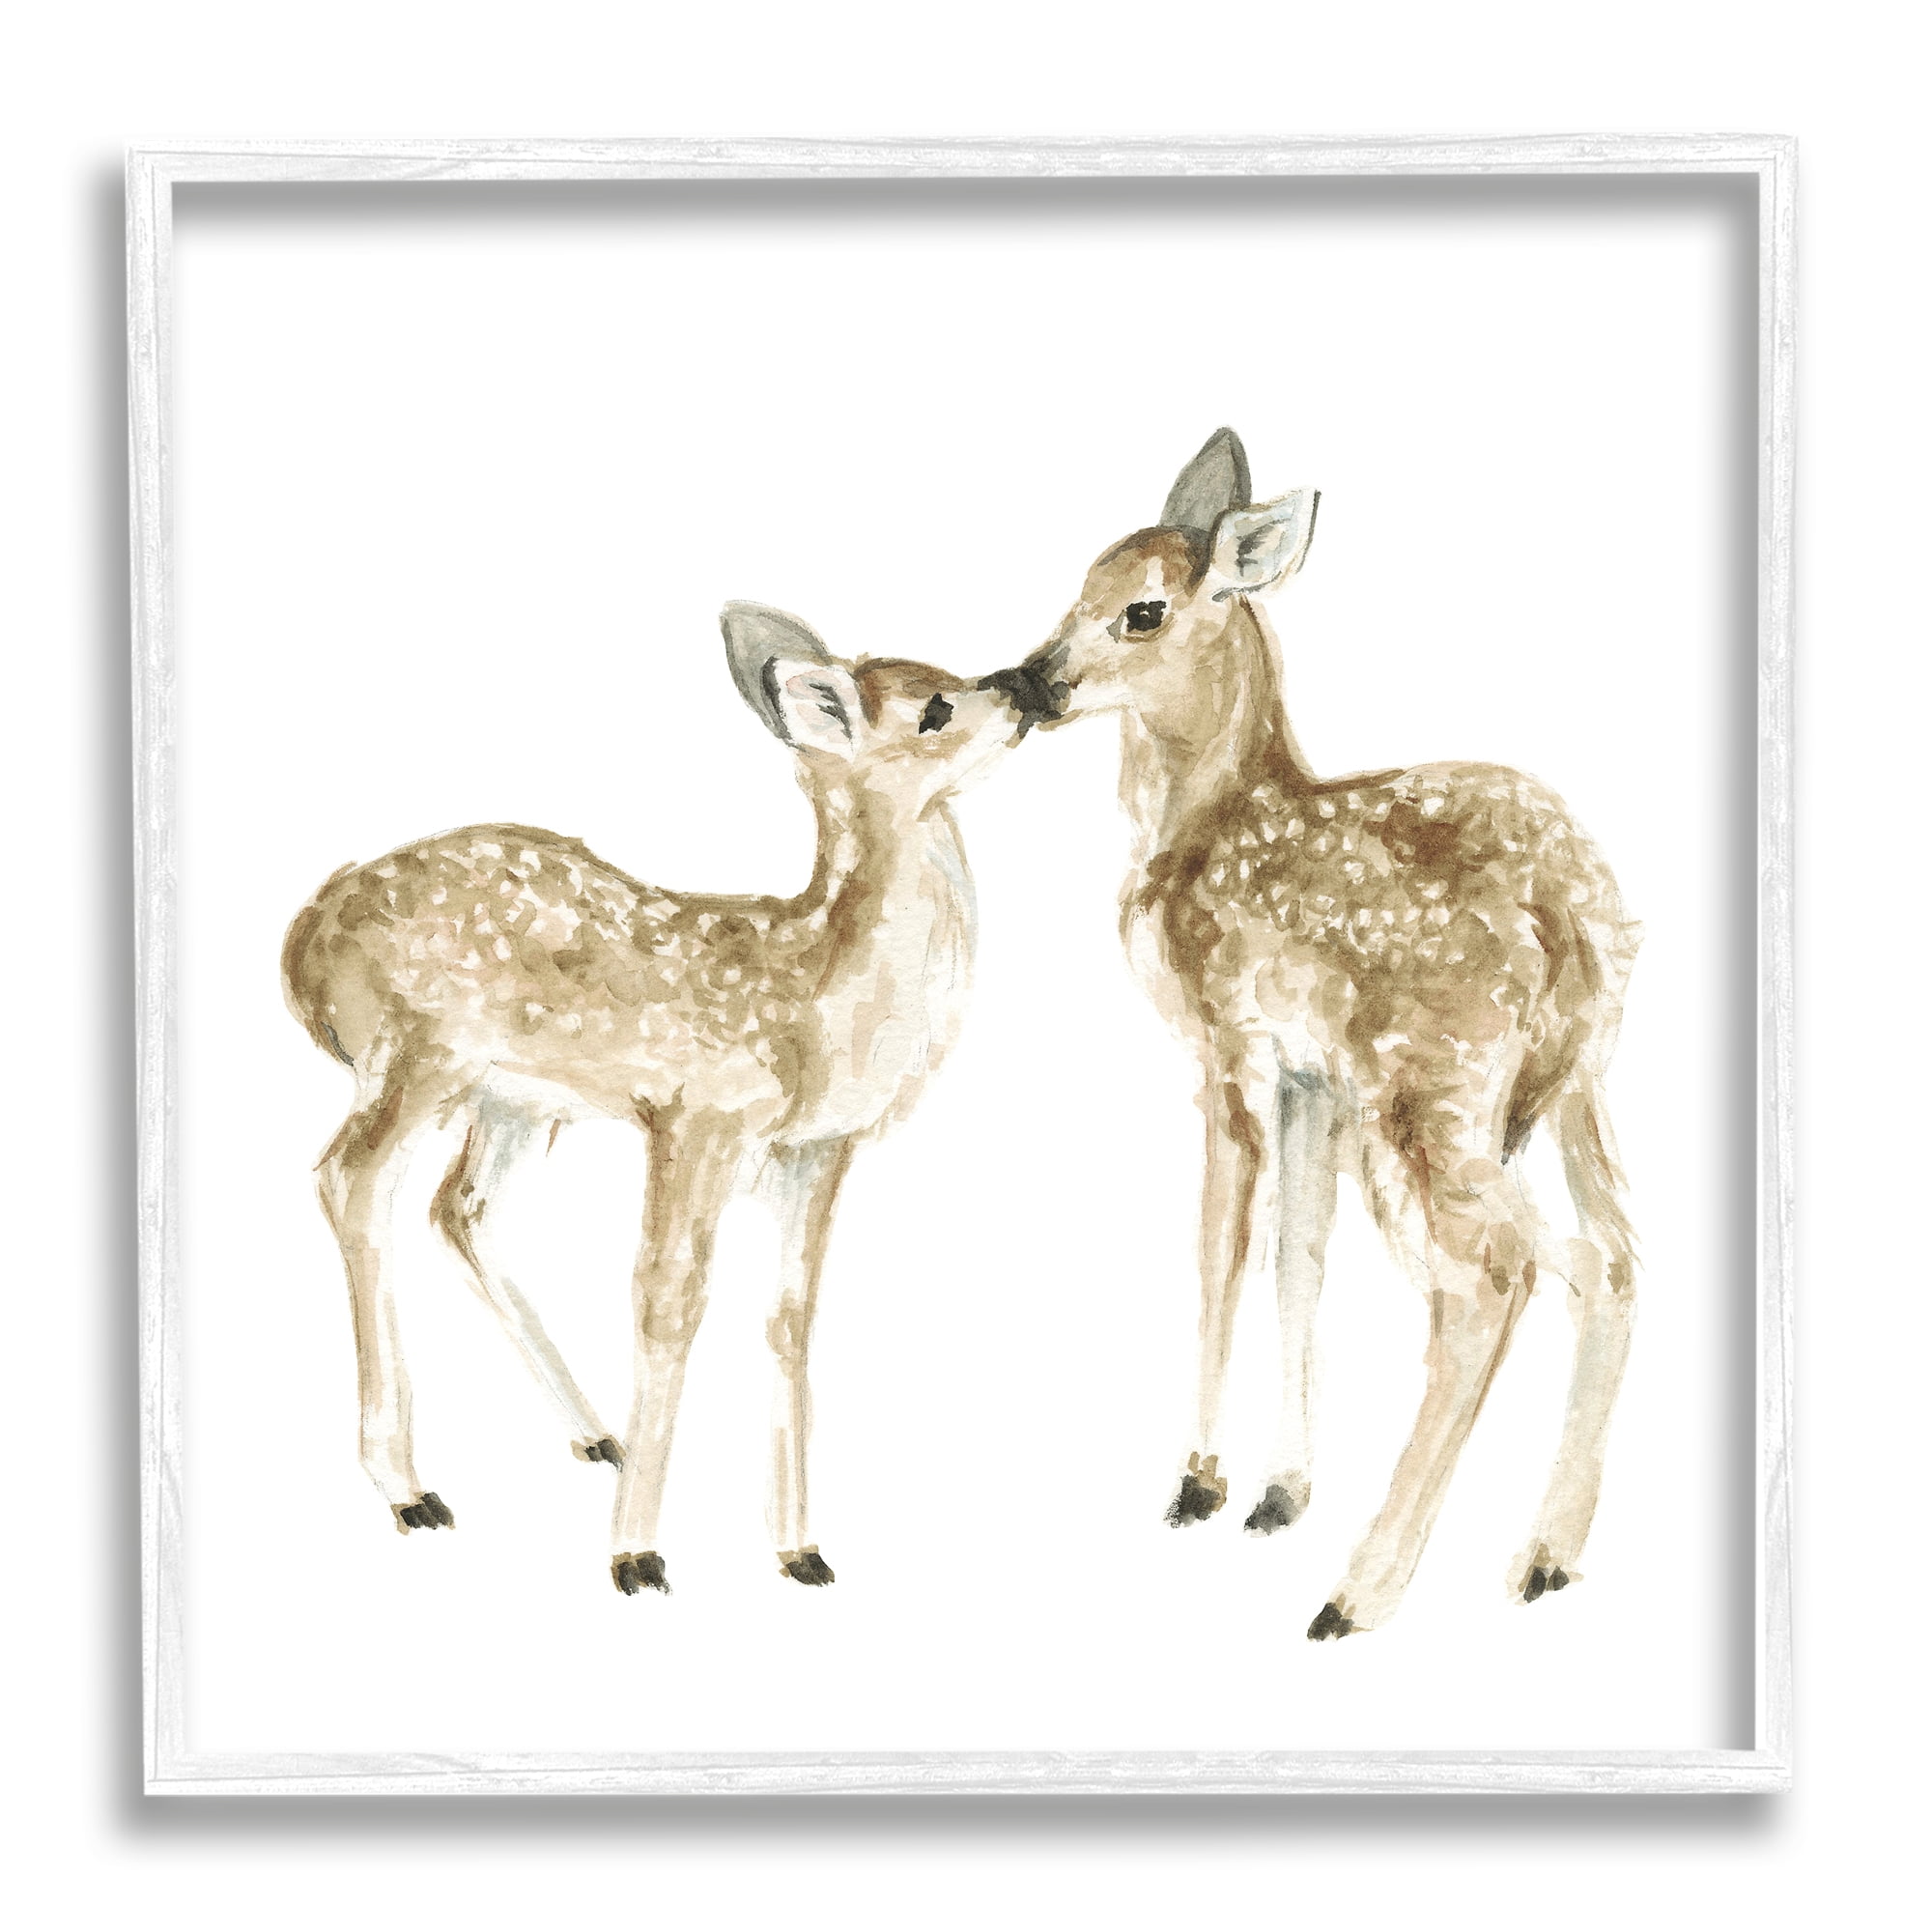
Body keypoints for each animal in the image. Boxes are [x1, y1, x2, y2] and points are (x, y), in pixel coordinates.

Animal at [282, 603, 1037, 1596]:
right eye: (936, 708)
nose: (1028, 685)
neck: (815, 1009)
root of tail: (306, 945)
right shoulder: (696, 1114)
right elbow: (667, 1300)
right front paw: (636, 1554)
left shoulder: (816, 1151)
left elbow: (790, 1319)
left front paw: (800, 1550)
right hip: (417, 1053)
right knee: (352, 1179)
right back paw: (411, 1488)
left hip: (515, 1101)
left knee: (460, 1208)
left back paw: (596, 1436)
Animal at [991, 430, 1639, 1637]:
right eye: (1079, 581)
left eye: (1140, 610)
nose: (1026, 682)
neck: (1198, 821)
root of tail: (1575, 916)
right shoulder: (1310, 1080)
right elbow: (1298, 1253)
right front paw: (1278, 1491)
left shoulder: (1225, 1045)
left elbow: (1220, 1248)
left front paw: (1197, 1480)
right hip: (1571, 1085)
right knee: (1606, 1256)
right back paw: (1541, 1558)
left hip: (1428, 1084)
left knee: (1494, 1276)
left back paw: (1359, 1590)